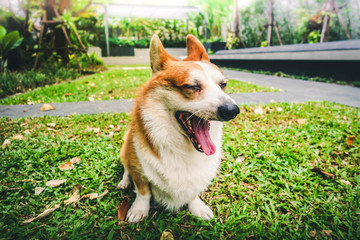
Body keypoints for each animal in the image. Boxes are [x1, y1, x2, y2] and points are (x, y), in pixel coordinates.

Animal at [118, 34, 240, 222]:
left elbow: (193, 192)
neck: (182, 147)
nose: (232, 110)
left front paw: (197, 207)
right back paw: (124, 182)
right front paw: (139, 210)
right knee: (125, 169)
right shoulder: (137, 166)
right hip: (125, 150)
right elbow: (143, 192)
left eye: (223, 85)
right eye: (193, 86)